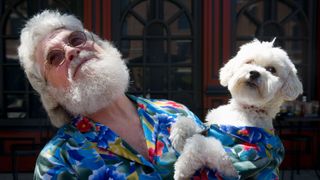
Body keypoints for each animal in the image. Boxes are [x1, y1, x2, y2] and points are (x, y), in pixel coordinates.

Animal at [170, 38, 302, 179]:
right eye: (249, 62)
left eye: (272, 69)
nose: (254, 73)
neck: (246, 108)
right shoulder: (210, 125)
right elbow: (191, 123)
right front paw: (179, 136)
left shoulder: (237, 160)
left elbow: (200, 143)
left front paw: (182, 169)